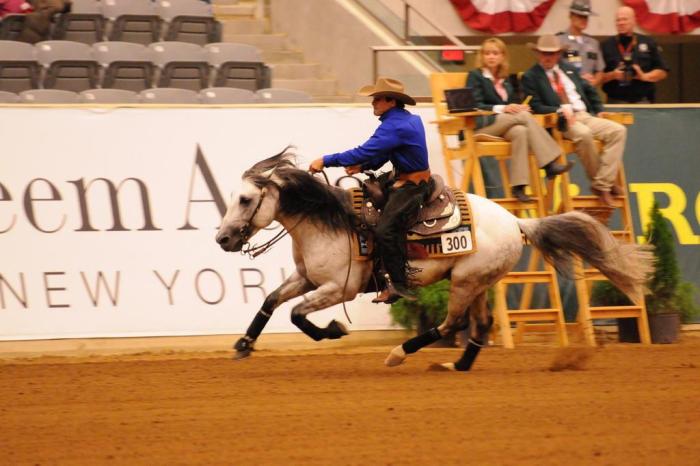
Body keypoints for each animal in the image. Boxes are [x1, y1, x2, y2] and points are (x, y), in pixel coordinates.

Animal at [216, 149, 652, 372]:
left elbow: (297, 315)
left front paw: (335, 330)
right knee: (481, 323)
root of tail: (516, 221)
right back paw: (458, 365)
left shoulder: (339, 287)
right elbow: (271, 301)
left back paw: (400, 353)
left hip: (464, 282)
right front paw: (242, 345)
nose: (222, 238)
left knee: (451, 323)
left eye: (245, 199)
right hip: (477, 281)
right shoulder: (306, 278)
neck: (330, 222)